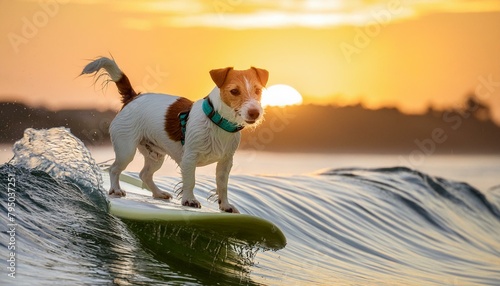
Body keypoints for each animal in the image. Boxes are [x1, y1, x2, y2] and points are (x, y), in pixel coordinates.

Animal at [81, 57, 270, 212]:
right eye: (234, 91)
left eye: (258, 91)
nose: (255, 113)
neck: (217, 122)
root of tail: (133, 98)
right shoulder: (189, 159)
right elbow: (190, 181)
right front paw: (189, 200)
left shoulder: (225, 162)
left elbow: (222, 185)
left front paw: (225, 205)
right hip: (126, 150)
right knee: (114, 169)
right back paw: (116, 189)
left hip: (156, 155)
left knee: (145, 174)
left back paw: (158, 193)